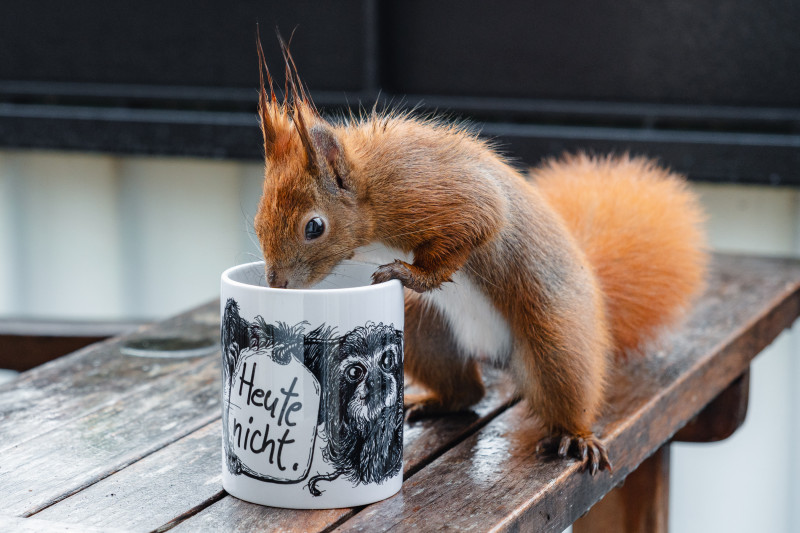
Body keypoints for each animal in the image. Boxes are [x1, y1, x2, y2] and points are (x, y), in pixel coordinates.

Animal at [255, 43, 708, 472]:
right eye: (259, 218)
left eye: (314, 227)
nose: (276, 284)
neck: (369, 189)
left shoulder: (424, 190)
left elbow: (478, 222)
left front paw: (409, 273)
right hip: (424, 331)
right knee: (468, 392)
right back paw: (432, 402)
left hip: (556, 340)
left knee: (564, 386)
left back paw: (575, 436)